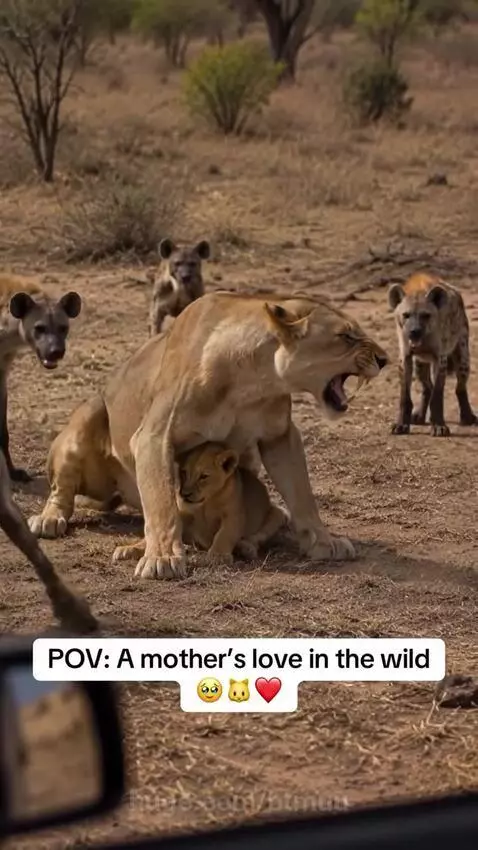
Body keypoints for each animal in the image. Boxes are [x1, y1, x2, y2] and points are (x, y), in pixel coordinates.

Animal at [111, 441, 288, 565]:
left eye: (203, 476)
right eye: (184, 472)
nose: (185, 494)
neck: (206, 503)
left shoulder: (234, 515)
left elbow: (225, 534)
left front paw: (218, 556)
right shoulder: (182, 513)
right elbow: (159, 533)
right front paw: (131, 548)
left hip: (278, 514)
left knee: (257, 537)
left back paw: (246, 548)